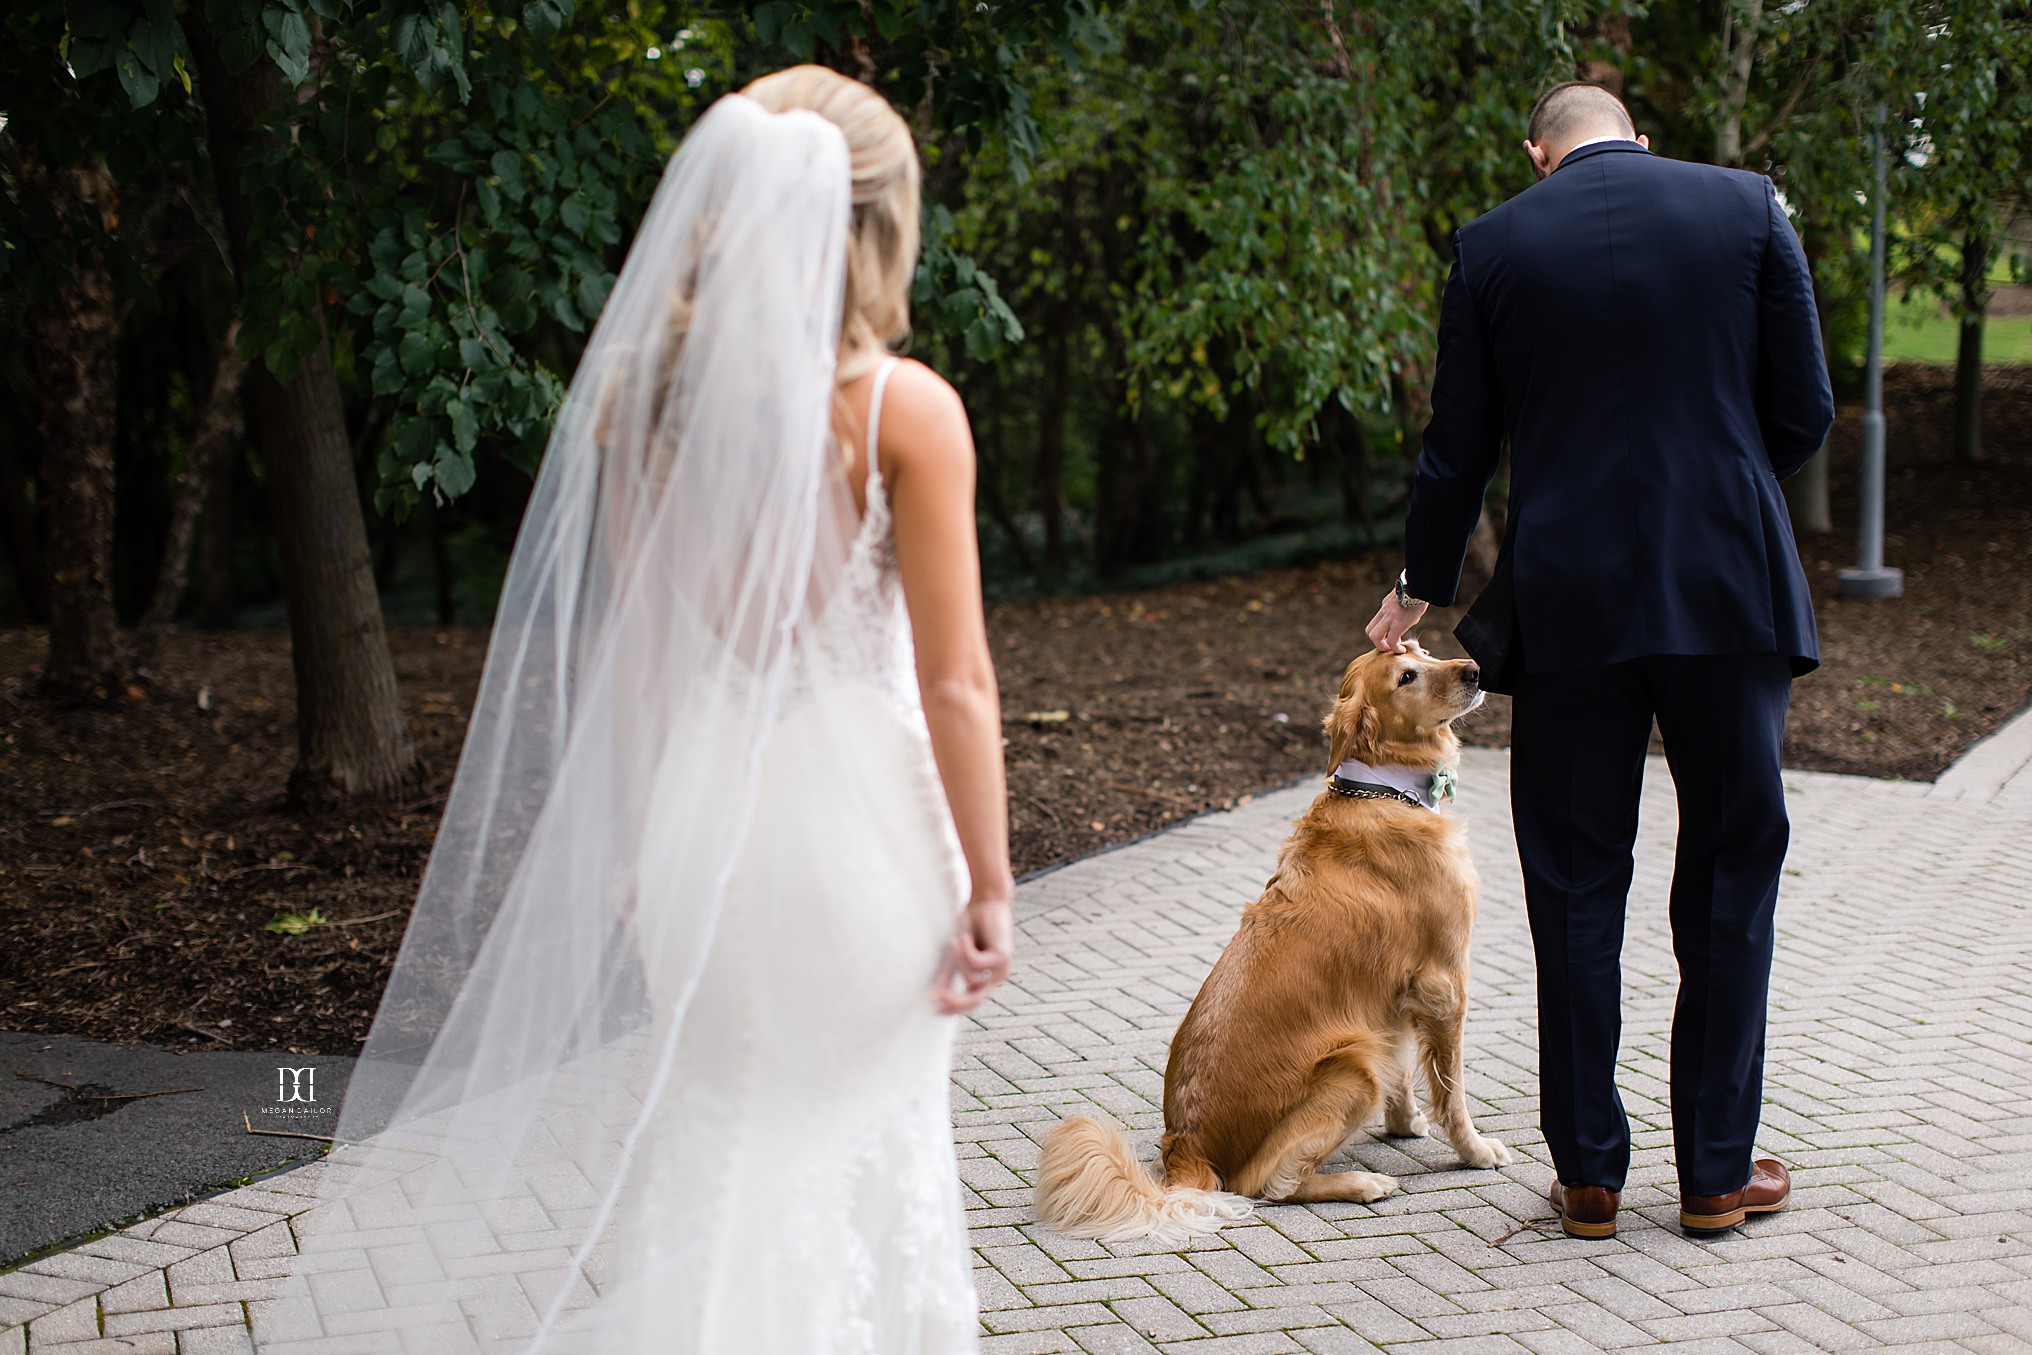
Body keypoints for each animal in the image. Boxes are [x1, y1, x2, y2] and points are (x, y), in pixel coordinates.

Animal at [1048, 641, 1511, 1243]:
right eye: (1406, 675)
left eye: (1422, 649)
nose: (1475, 670)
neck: (1384, 789)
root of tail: (1184, 1147)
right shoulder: (1443, 981)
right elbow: (1452, 1091)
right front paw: (1474, 1151)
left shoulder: (1394, 995)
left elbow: (1405, 1064)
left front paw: (1405, 1122)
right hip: (1351, 1064)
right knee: (1269, 1184)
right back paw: (1360, 1184)